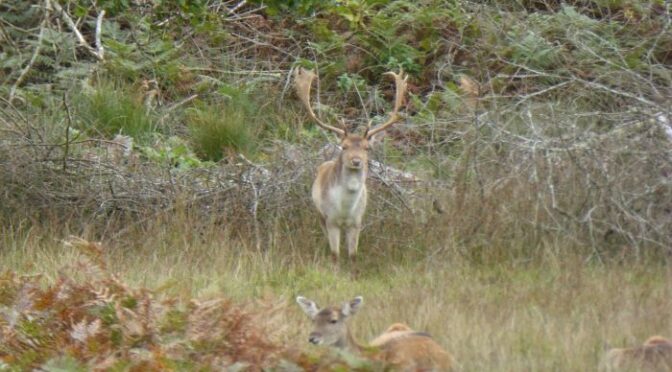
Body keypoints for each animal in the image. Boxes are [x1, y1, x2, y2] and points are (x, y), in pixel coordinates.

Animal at [292, 68, 406, 260]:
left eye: (367, 148)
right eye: (344, 146)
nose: (356, 160)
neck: (345, 209)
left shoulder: (356, 222)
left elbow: (353, 255)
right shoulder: (331, 220)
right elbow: (335, 254)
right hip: (319, 214)